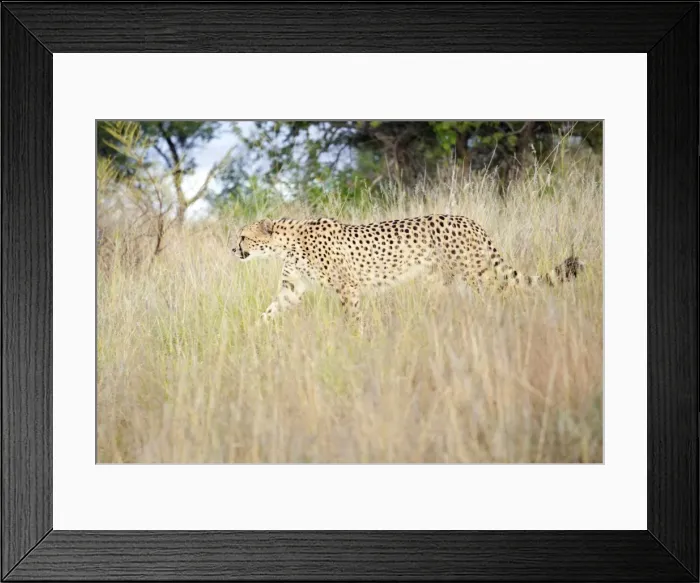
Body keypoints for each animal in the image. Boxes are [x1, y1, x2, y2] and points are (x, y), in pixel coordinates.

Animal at [233, 214, 584, 324]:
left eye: (243, 236)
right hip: (441, 282)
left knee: (505, 292)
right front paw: (253, 334)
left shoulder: (348, 287)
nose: (233, 249)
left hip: (477, 274)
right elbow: (270, 311)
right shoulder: (292, 289)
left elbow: (354, 318)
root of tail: (468, 220)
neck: (288, 242)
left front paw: (357, 341)